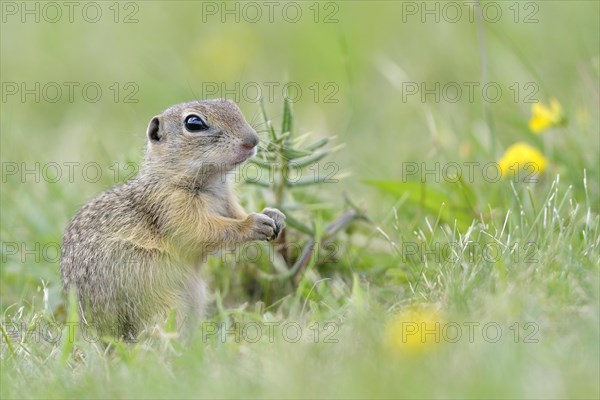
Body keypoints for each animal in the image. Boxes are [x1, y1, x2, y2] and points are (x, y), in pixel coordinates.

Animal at [61, 100, 286, 340]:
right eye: (194, 123)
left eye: (232, 105)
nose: (253, 140)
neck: (210, 183)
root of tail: (93, 328)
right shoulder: (172, 207)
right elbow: (201, 232)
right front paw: (253, 224)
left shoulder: (227, 202)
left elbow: (236, 214)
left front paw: (274, 214)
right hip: (158, 296)